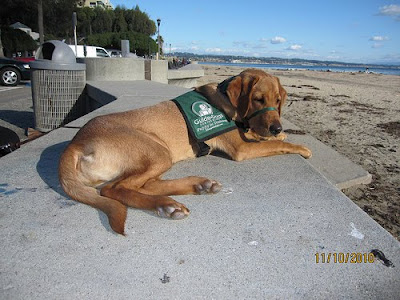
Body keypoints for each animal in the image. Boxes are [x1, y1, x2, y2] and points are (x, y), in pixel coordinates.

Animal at [57, 68, 310, 234]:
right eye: (258, 99)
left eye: (278, 101)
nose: (277, 127)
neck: (225, 98)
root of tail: (76, 143)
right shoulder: (241, 149)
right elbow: (273, 145)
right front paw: (299, 147)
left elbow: (264, 138)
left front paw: (279, 135)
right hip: (156, 151)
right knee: (115, 189)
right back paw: (166, 205)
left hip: (158, 157)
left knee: (144, 185)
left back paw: (197, 186)